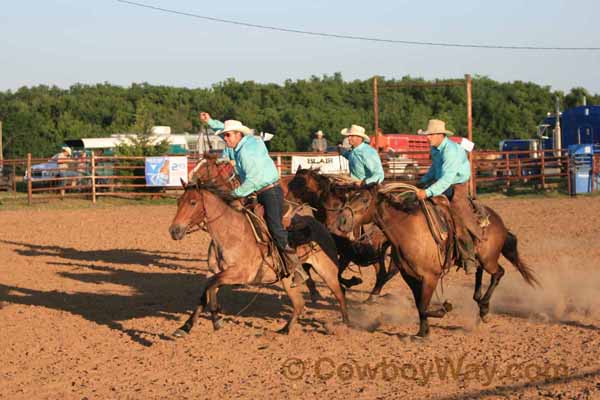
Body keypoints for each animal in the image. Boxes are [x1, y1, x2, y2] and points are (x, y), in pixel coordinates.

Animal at [166, 182, 350, 338]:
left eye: (193, 202)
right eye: (179, 201)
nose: (174, 231)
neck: (230, 234)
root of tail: (321, 227)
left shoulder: (240, 274)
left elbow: (211, 287)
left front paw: (216, 318)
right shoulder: (214, 272)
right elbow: (205, 293)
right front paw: (185, 327)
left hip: (327, 271)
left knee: (340, 295)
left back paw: (346, 325)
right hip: (287, 280)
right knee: (299, 304)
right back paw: (285, 330)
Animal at [332, 184, 540, 338]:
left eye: (365, 200)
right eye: (348, 198)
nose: (342, 221)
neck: (409, 232)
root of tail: (498, 220)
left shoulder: (430, 277)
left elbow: (424, 305)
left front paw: (442, 310)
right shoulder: (410, 277)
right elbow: (419, 305)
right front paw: (423, 331)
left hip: (489, 259)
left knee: (498, 273)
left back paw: (484, 308)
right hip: (480, 259)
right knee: (479, 272)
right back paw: (478, 300)